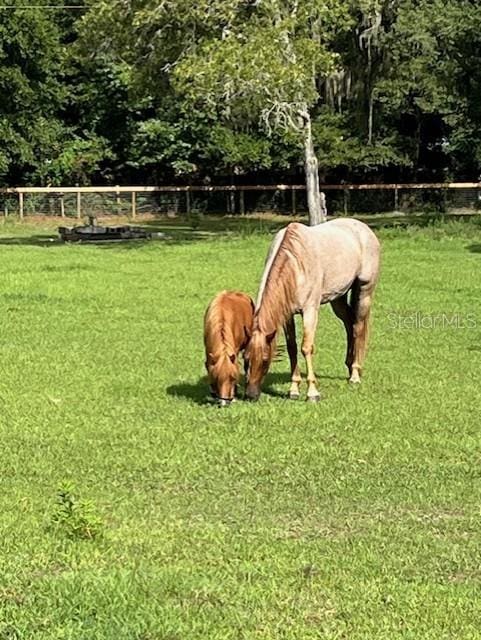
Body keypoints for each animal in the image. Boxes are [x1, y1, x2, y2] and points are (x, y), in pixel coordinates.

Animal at [246, 220, 380, 400]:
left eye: (266, 360)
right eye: (245, 358)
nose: (251, 394)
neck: (296, 265)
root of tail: (364, 228)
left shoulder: (310, 311)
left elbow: (306, 348)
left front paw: (312, 392)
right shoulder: (287, 315)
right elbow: (292, 348)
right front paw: (294, 389)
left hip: (364, 291)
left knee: (358, 327)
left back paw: (355, 374)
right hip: (338, 297)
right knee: (349, 324)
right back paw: (349, 365)